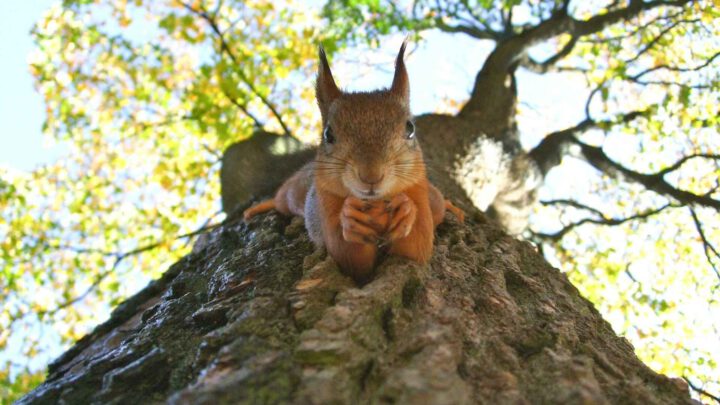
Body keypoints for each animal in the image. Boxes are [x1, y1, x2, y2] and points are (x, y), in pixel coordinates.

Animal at [243, 41, 464, 282]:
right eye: (328, 134)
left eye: (410, 128)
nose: (371, 176)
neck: (376, 205)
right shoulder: (326, 203)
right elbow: (349, 257)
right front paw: (350, 217)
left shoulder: (418, 193)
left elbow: (417, 248)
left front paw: (406, 210)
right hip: (293, 193)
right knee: (281, 199)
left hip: (433, 198)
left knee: (439, 203)